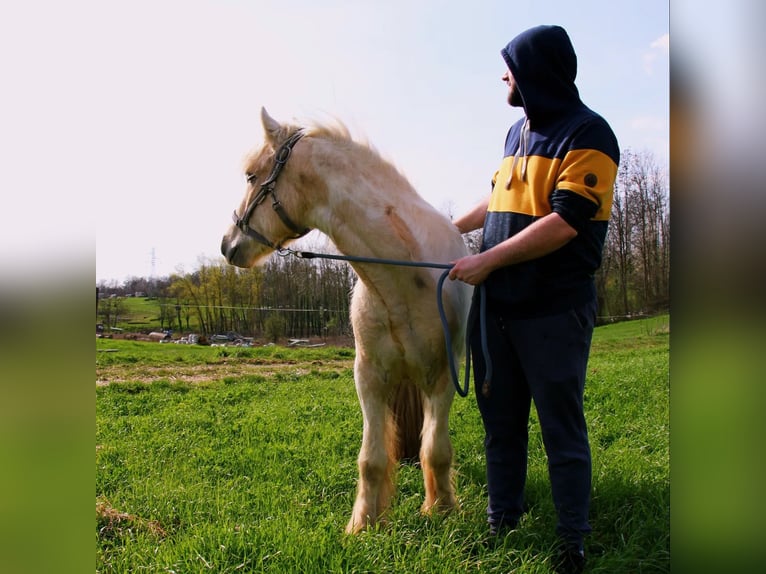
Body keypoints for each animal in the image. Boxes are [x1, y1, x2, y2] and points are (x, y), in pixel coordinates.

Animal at [220, 109, 474, 536]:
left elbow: (437, 450)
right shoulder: (368, 378)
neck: (403, 281)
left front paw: (441, 510)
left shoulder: (442, 376)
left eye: (252, 175)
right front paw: (364, 524)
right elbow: (371, 459)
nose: (228, 245)